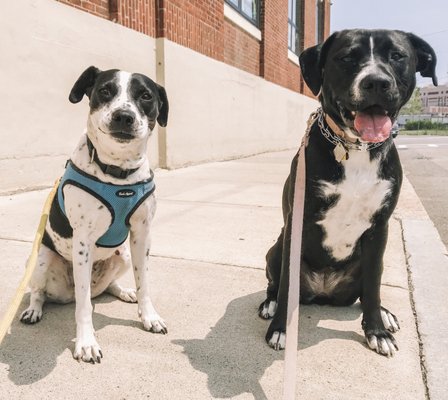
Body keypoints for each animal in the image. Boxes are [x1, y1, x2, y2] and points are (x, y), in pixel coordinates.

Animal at [20, 67, 169, 364]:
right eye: (105, 90)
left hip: (123, 255)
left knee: (107, 287)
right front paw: (86, 343)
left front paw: (149, 316)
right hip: (41, 259)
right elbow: (85, 305)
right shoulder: (83, 241)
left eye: (146, 96)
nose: (124, 116)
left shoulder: (142, 234)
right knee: (42, 293)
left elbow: (144, 282)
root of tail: (65, 295)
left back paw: (124, 292)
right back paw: (34, 309)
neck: (117, 172)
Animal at [260, 30, 438, 356]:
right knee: (277, 284)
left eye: (397, 56)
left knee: (368, 291)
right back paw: (270, 303)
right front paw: (280, 329)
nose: (376, 82)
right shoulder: (297, 222)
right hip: (277, 246)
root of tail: (324, 293)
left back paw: (384, 314)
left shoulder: (380, 228)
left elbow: (374, 286)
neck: (355, 148)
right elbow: (287, 283)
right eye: (346, 57)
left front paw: (377, 330)